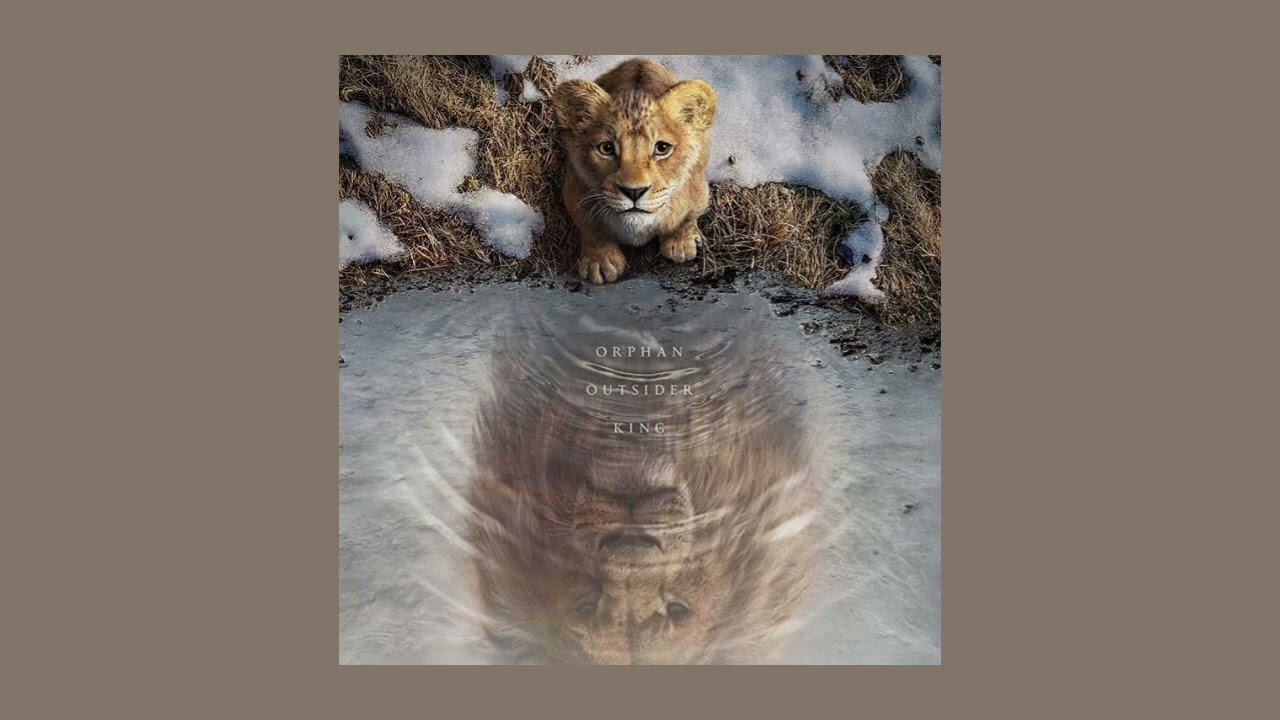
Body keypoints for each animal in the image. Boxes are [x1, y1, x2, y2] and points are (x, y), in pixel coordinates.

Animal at [552, 58, 717, 285]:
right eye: (606, 148)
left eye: (662, 148)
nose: (634, 192)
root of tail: (640, 60)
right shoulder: (574, 191)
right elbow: (591, 228)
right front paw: (600, 262)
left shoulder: (699, 191)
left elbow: (686, 219)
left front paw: (681, 243)